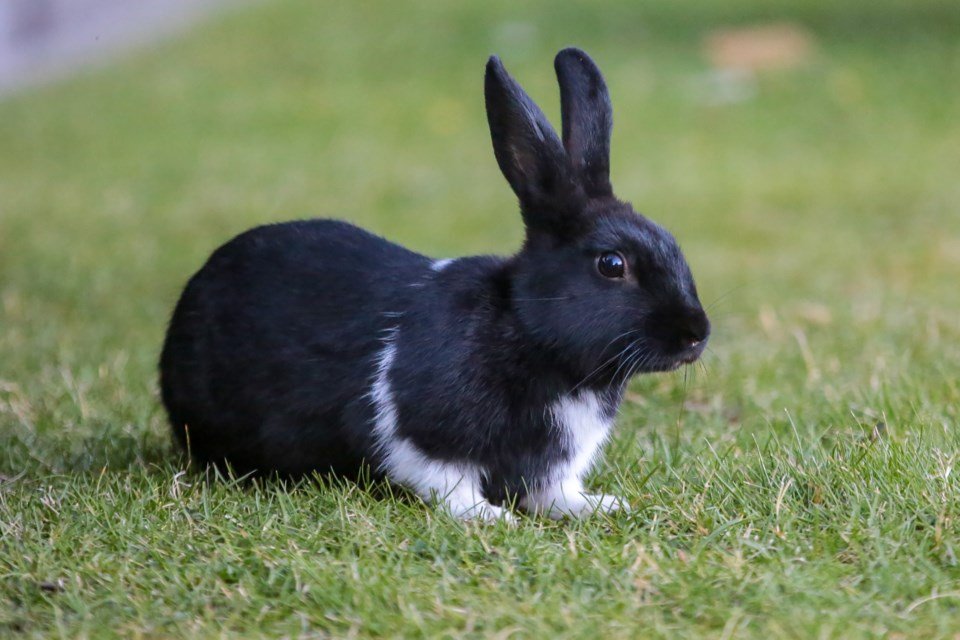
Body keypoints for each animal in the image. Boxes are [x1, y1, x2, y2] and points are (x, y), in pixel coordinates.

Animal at [159, 48, 710, 521]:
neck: (533, 339)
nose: (696, 335)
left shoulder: (552, 465)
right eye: (612, 264)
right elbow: (448, 482)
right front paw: (489, 517)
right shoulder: (425, 438)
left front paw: (598, 507)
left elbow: (552, 491)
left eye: (673, 242)